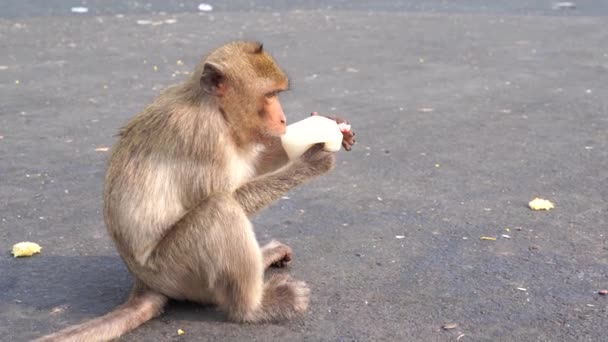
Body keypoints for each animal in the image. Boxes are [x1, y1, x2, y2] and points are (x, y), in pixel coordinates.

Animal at [38, 40, 354, 342]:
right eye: (269, 95)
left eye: (278, 94)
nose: (283, 120)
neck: (218, 111)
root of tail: (143, 282)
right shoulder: (204, 137)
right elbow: (228, 197)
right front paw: (310, 162)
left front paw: (329, 126)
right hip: (177, 271)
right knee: (221, 209)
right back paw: (252, 308)